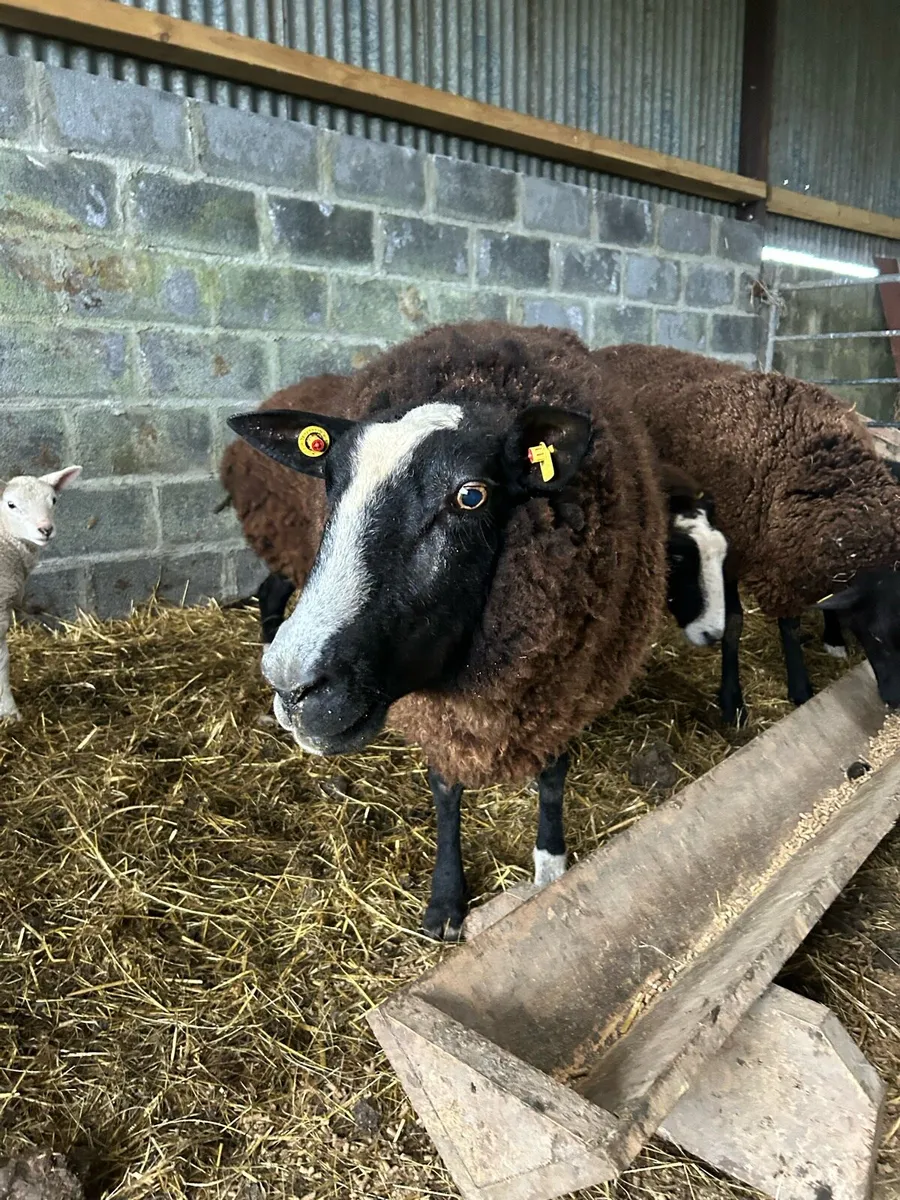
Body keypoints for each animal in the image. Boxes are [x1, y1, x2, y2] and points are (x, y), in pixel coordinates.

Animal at [227, 321, 671, 939]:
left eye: (471, 494)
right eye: (330, 484)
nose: (293, 688)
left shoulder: (568, 678)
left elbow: (554, 775)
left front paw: (551, 863)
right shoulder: (436, 711)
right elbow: (444, 787)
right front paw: (445, 902)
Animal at [592, 341, 900, 723]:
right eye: (877, 635)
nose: (896, 700)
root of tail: (614, 348)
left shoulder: (795, 557)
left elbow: (805, 614)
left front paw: (815, 664)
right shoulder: (737, 555)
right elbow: (740, 624)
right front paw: (737, 699)